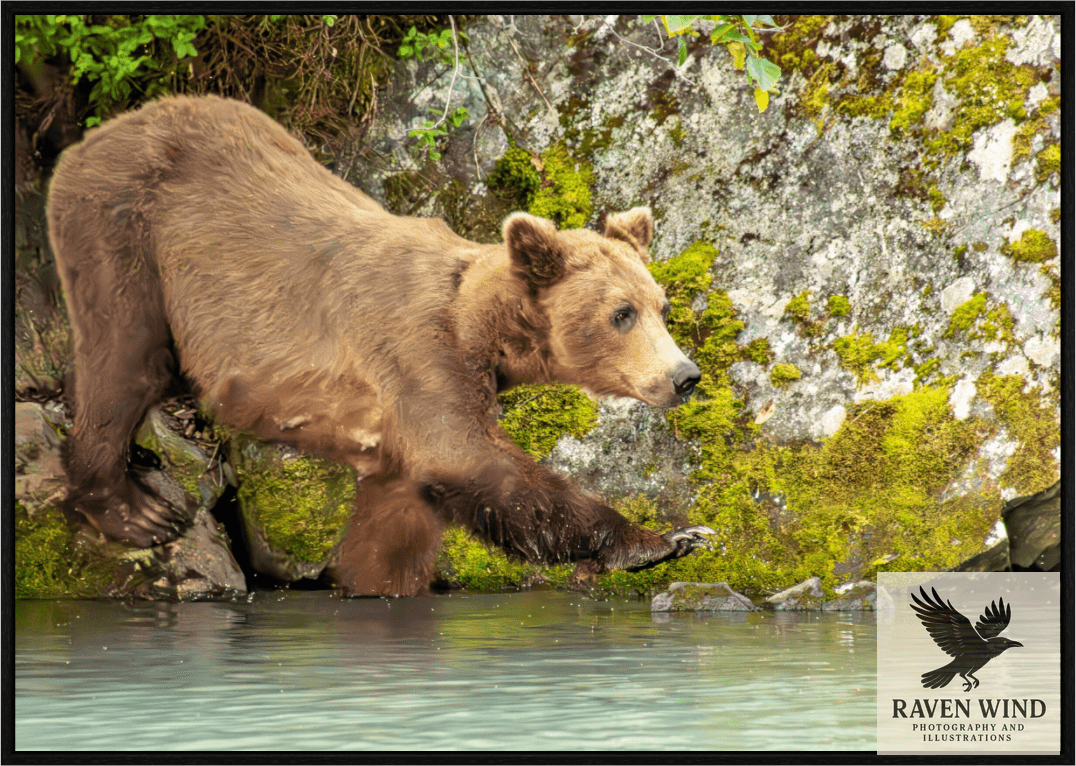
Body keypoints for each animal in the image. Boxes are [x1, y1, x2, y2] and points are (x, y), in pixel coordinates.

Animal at [47, 94, 711, 596]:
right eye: (621, 313)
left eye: (662, 307)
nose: (685, 375)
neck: (478, 330)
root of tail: (91, 137)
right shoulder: (418, 356)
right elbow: (472, 460)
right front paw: (664, 540)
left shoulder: (398, 436)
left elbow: (390, 530)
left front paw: (377, 586)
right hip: (127, 228)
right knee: (126, 358)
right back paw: (134, 508)